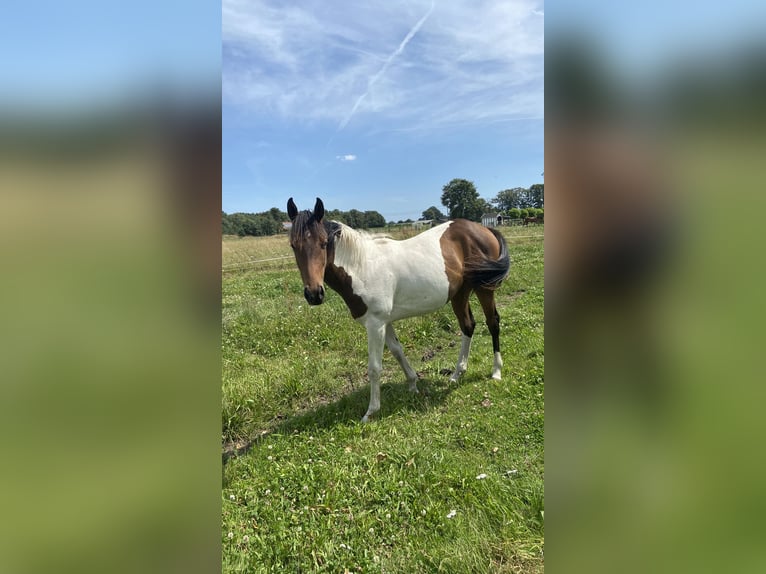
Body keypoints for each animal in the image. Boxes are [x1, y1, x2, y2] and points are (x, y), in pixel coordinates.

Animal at [284, 198, 512, 424]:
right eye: (293, 246)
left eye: (323, 243)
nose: (314, 294)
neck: (361, 267)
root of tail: (485, 229)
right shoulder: (385, 322)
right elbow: (397, 351)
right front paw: (413, 384)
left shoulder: (375, 324)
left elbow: (374, 368)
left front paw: (371, 412)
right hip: (459, 294)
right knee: (467, 326)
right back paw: (457, 374)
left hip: (484, 288)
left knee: (492, 323)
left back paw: (496, 372)